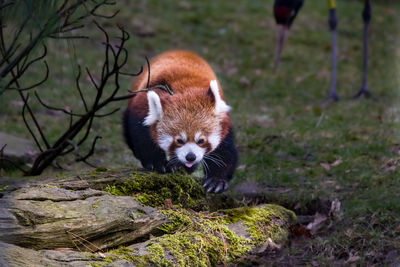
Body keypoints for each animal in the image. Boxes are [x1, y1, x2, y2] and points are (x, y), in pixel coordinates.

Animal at [123, 50, 238, 194]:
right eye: (179, 141)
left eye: (201, 141)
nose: (190, 157)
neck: (185, 90)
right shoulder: (141, 111)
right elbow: (143, 139)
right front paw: (157, 163)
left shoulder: (223, 122)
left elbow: (224, 151)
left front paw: (216, 180)